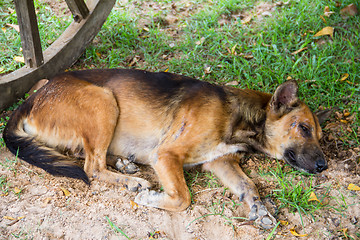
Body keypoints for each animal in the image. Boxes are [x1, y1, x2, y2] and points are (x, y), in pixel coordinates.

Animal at [3, 69, 330, 229]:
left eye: (319, 136)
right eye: (303, 128)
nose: (324, 166)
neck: (240, 118)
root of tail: (31, 100)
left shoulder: (221, 162)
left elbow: (248, 186)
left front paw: (259, 209)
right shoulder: (166, 155)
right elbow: (183, 198)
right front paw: (152, 198)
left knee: (83, 154)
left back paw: (124, 165)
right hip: (103, 100)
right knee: (91, 167)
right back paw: (132, 181)